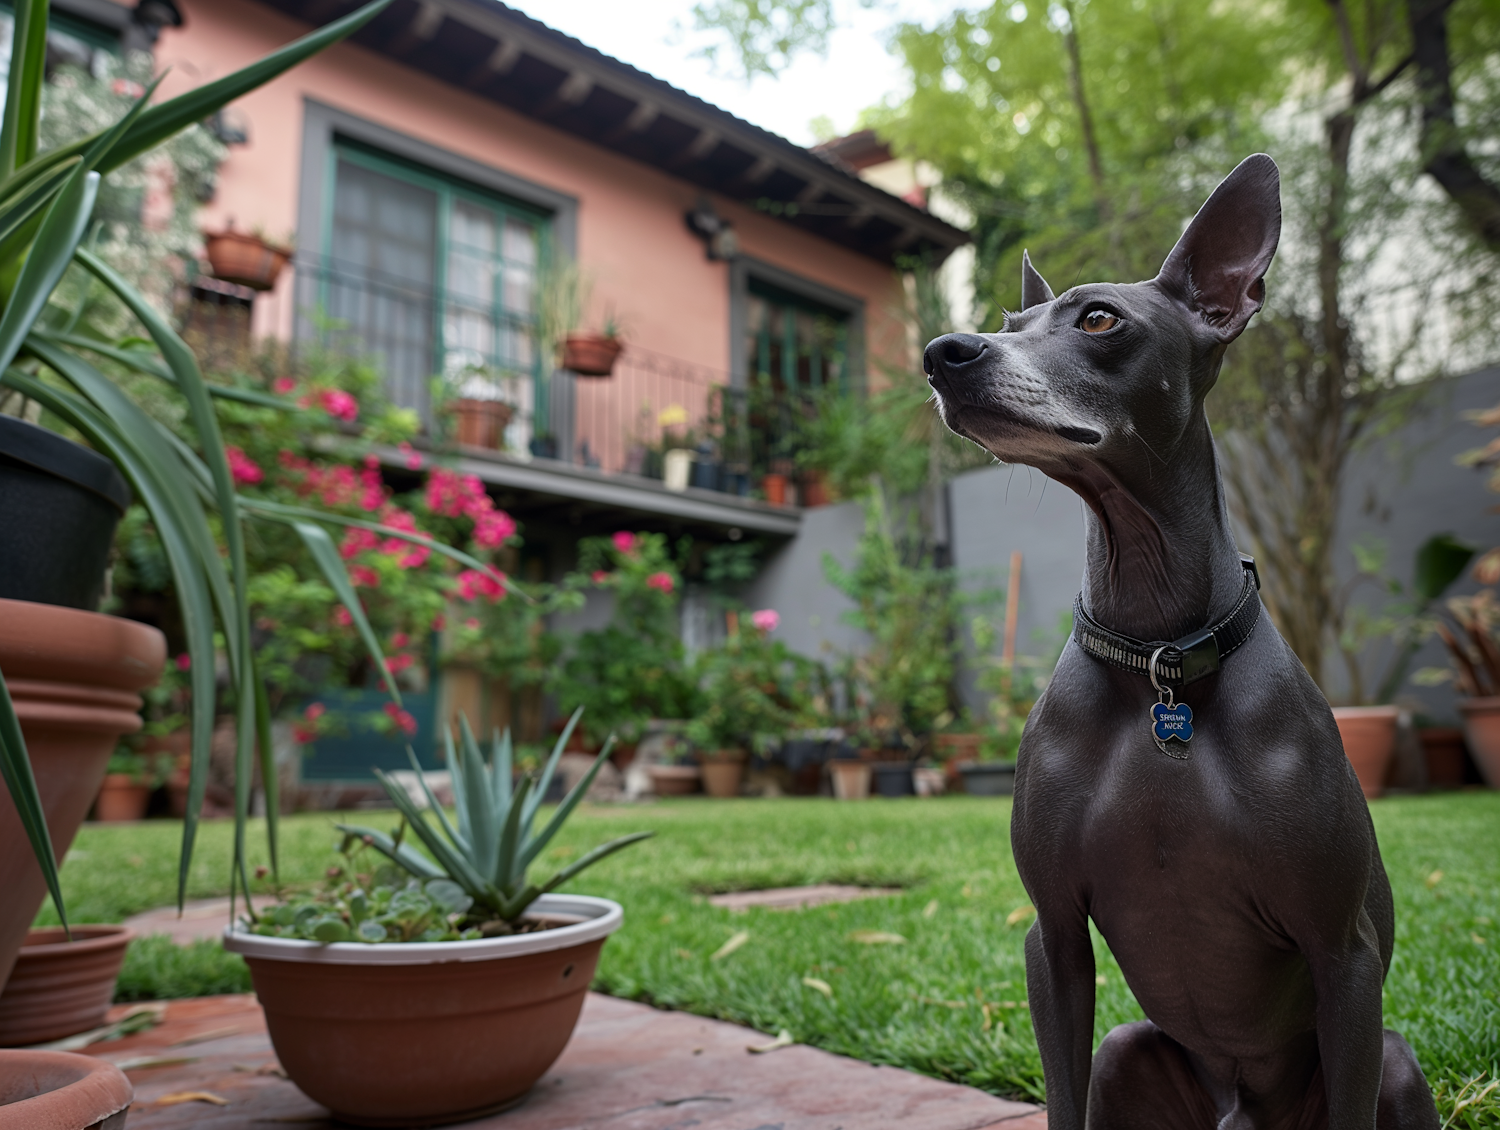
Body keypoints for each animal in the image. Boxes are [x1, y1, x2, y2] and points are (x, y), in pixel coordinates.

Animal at [924, 156, 1440, 1128]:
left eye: (1099, 318)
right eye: (1010, 324)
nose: (944, 354)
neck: (1158, 655)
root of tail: (1242, 1104)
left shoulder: (1342, 952)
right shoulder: (1053, 936)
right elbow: (1060, 1093)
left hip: (1392, 1061)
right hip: (1126, 1053)